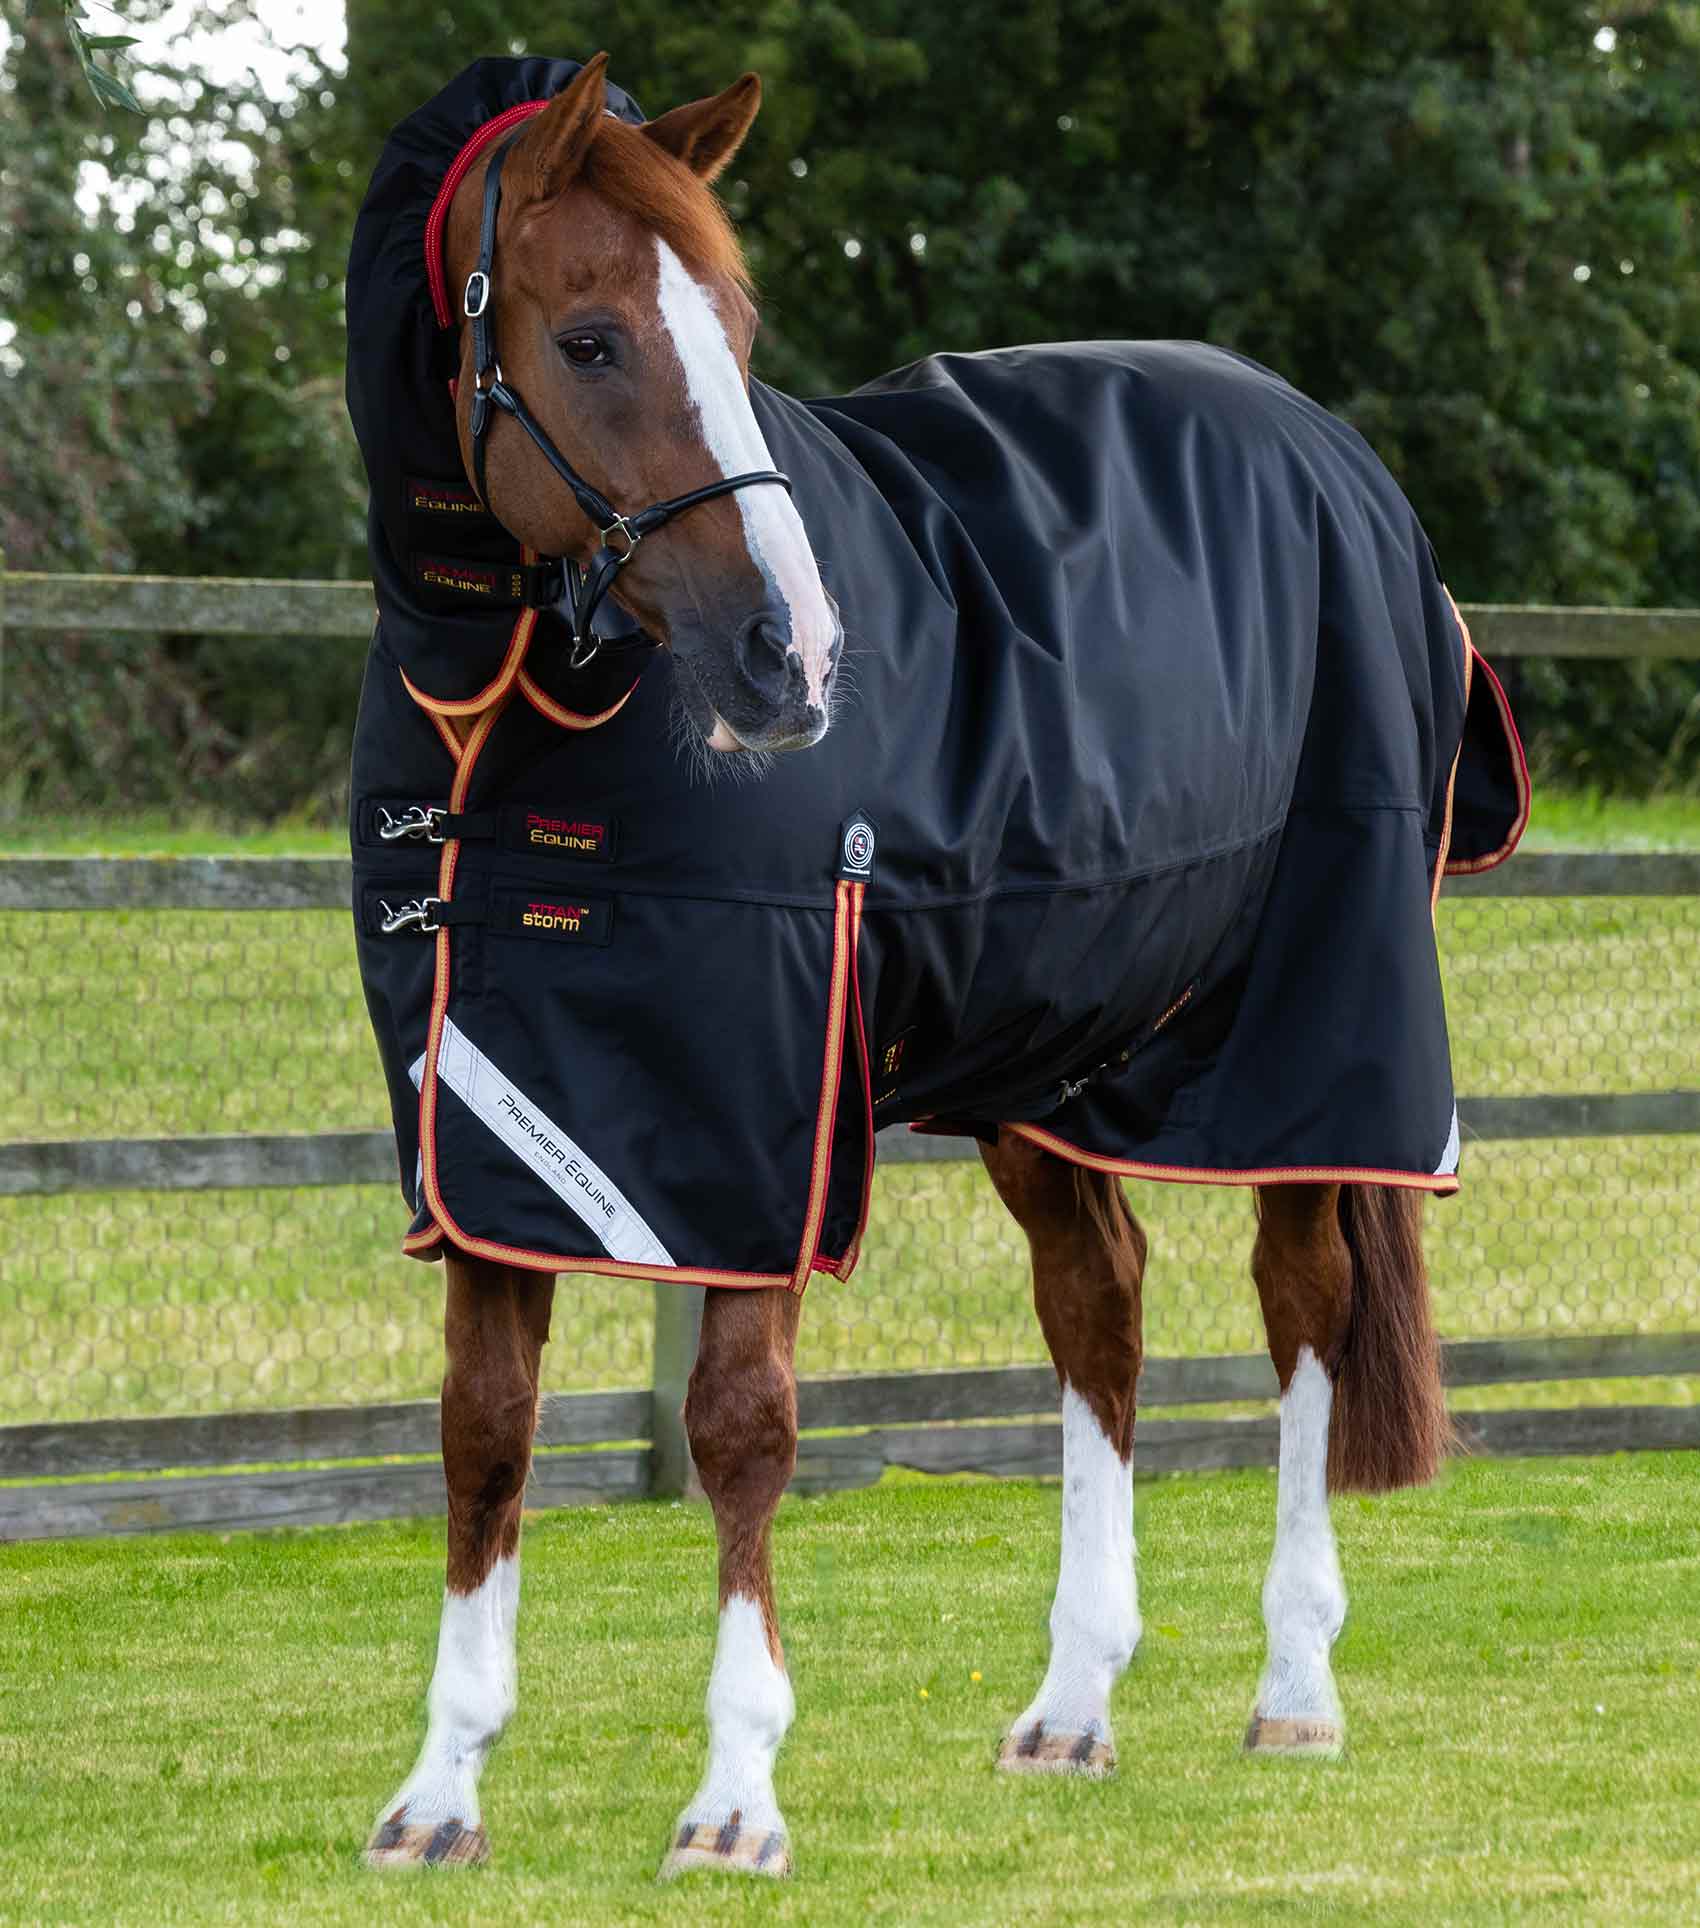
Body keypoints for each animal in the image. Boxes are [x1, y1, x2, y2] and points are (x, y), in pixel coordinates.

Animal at [346, 53, 1526, 1877]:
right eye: (592, 338)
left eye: (736, 324)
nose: (793, 654)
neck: (508, 726)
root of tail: (1337, 453)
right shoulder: (494, 1131)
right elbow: (484, 1433)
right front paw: (438, 1796)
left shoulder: (759, 1126)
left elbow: (740, 1429)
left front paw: (736, 1801)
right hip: (1064, 1049)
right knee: (1101, 1300)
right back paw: (1073, 1706)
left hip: (1311, 1032)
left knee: (1306, 1306)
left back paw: (1294, 1688)